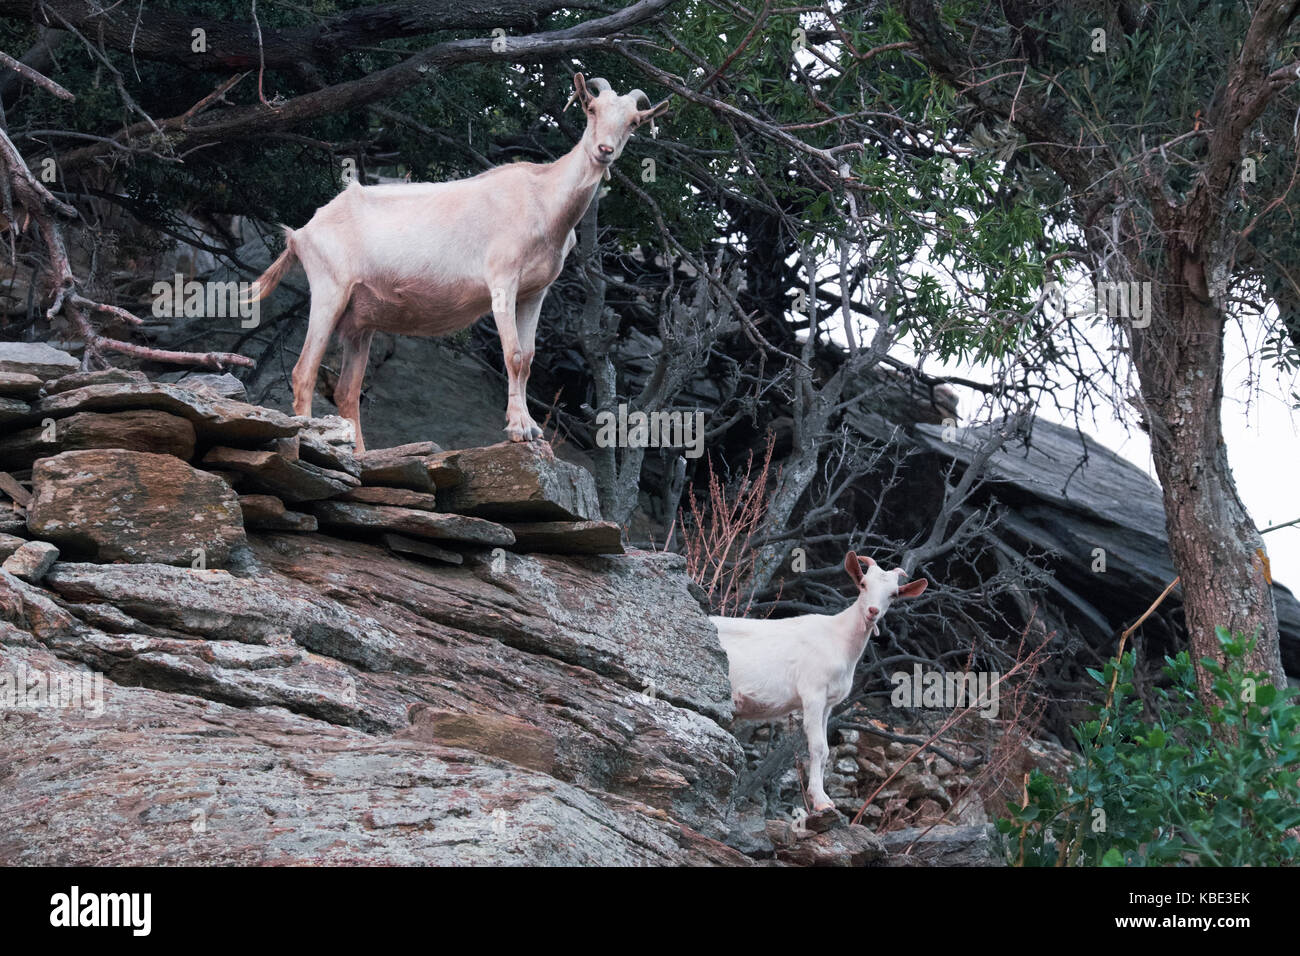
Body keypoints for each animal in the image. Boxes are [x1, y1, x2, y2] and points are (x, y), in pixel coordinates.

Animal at [246, 74, 668, 453]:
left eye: (634, 122)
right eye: (591, 108)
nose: (604, 150)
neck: (543, 201)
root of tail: (301, 233)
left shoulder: (536, 292)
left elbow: (530, 357)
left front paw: (532, 428)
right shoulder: (502, 280)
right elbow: (514, 355)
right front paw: (519, 430)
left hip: (359, 321)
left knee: (348, 391)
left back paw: (361, 454)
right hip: (329, 289)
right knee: (303, 372)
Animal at [711, 551, 928, 813]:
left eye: (894, 594)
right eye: (863, 584)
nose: (873, 611)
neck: (839, 639)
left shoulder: (828, 703)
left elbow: (825, 751)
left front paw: (824, 796)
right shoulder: (812, 692)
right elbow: (817, 746)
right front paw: (821, 801)